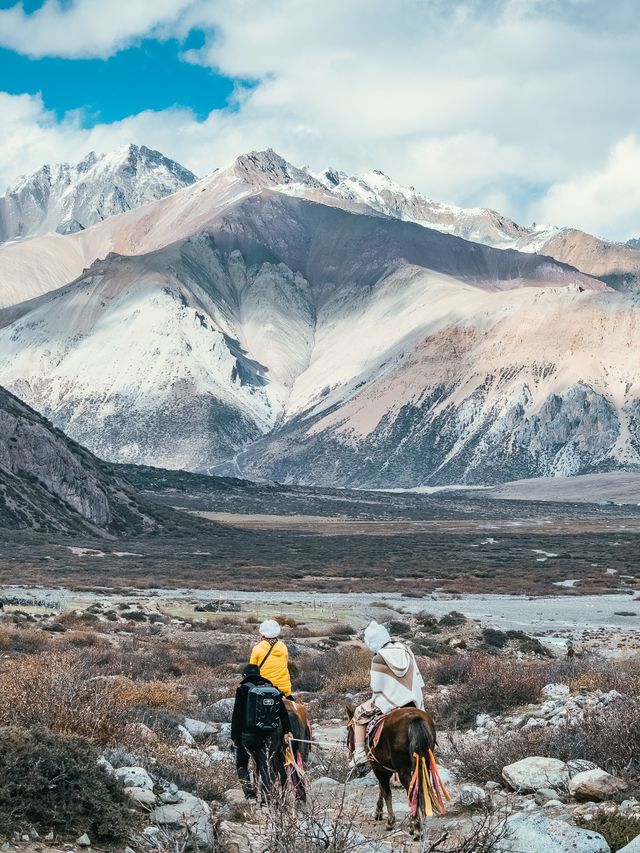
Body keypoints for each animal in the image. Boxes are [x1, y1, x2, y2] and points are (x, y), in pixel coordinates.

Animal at [348, 704, 448, 836]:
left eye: (349, 730)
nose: (351, 751)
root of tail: (415, 718)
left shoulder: (378, 767)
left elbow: (386, 792)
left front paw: (390, 822)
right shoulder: (385, 768)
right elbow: (382, 789)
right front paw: (378, 812)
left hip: (403, 769)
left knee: (412, 792)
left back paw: (416, 826)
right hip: (424, 764)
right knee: (422, 788)